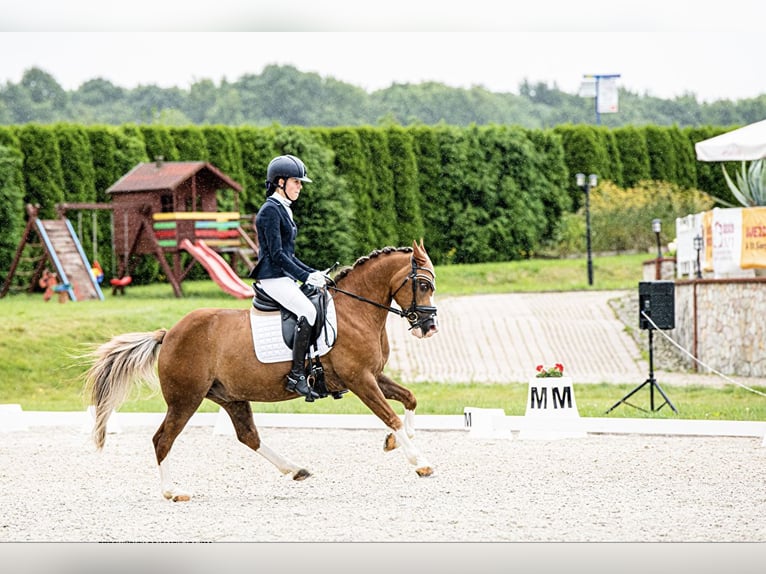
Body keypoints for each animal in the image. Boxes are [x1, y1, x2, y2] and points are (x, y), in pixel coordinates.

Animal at [84, 241, 438, 502]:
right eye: (422, 284)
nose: (429, 327)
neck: (356, 311)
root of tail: (169, 333)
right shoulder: (360, 379)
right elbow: (390, 415)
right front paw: (420, 463)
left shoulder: (373, 375)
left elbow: (410, 399)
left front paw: (394, 442)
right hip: (185, 399)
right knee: (163, 439)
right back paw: (172, 492)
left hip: (229, 397)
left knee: (248, 436)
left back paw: (295, 470)